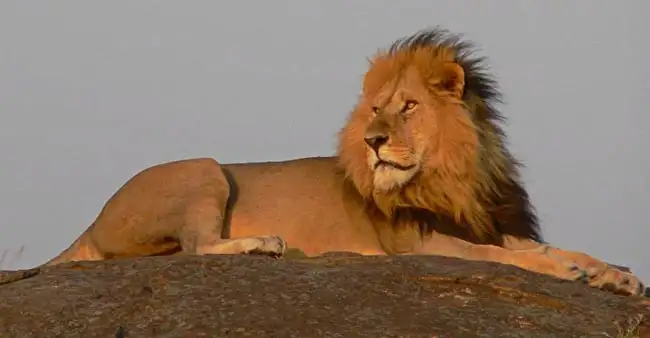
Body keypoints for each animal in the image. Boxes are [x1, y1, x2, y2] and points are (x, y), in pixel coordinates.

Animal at [0, 27, 644, 296]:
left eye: (408, 107)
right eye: (376, 109)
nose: (374, 142)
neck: (450, 173)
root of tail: (91, 221)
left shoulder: (482, 223)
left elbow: (541, 247)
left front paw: (614, 274)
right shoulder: (419, 245)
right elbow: (505, 259)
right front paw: (570, 272)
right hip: (204, 168)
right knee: (196, 247)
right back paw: (265, 245)